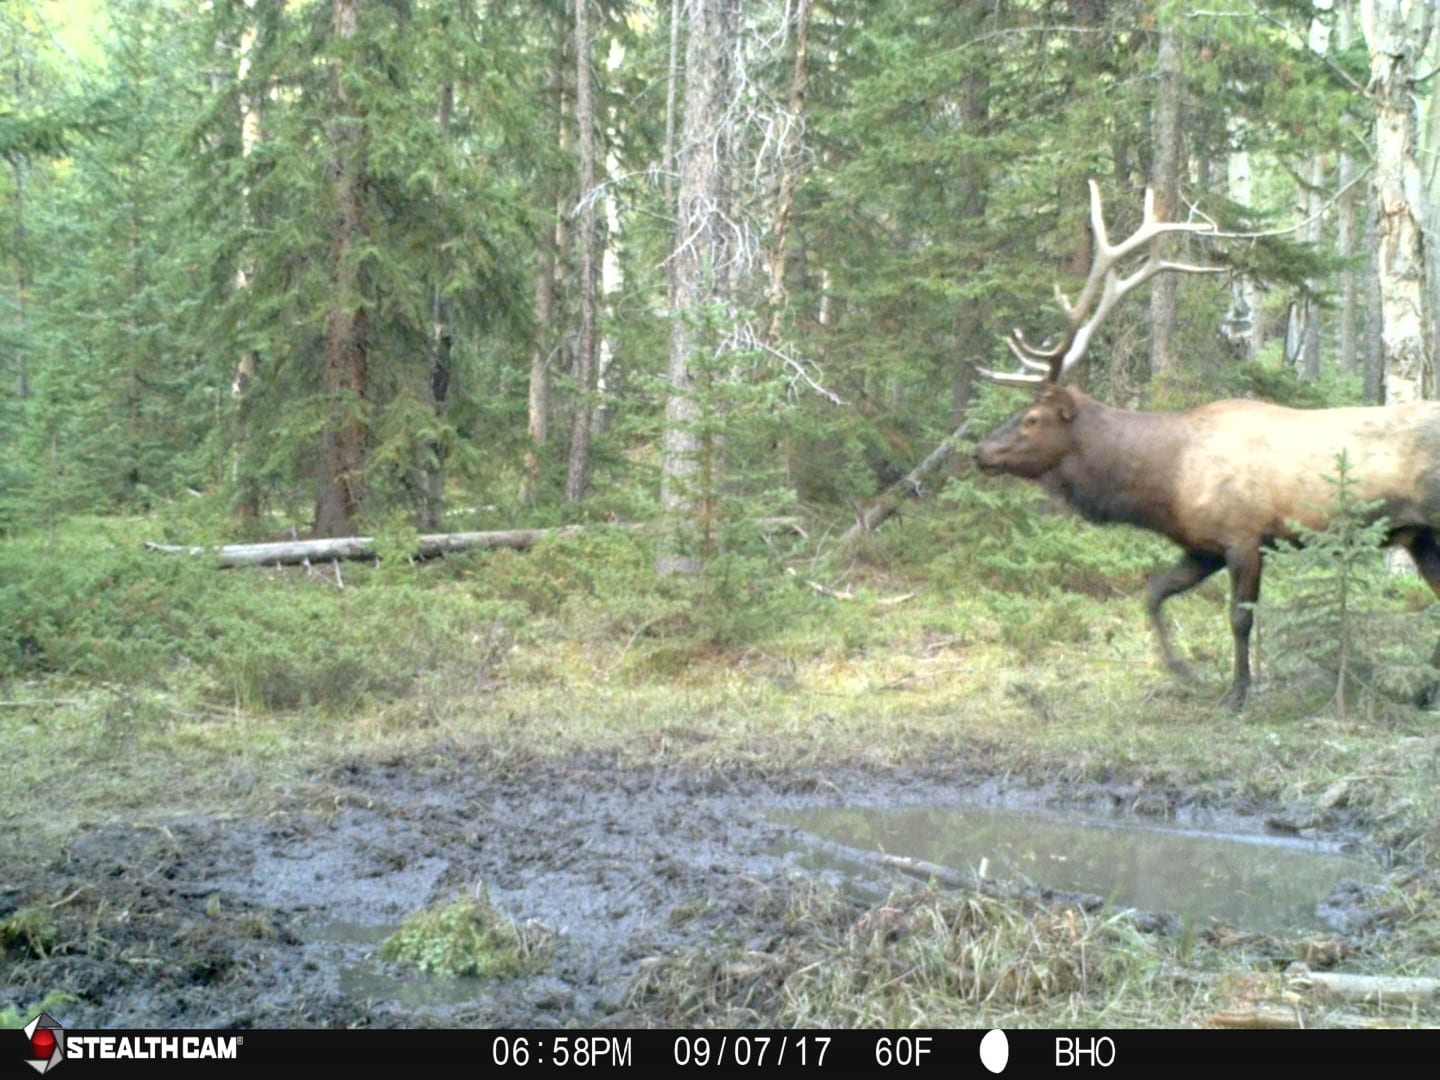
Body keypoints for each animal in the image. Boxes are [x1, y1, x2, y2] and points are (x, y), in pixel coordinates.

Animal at [973, 182, 1440, 714]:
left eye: (1031, 419)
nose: (980, 451)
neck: (1165, 481)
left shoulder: (1245, 537)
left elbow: (1240, 618)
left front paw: (1236, 693)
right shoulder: (1201, 546)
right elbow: (1154, 592)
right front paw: (1183, 670)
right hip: (1423, 536)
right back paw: (1424, 691)